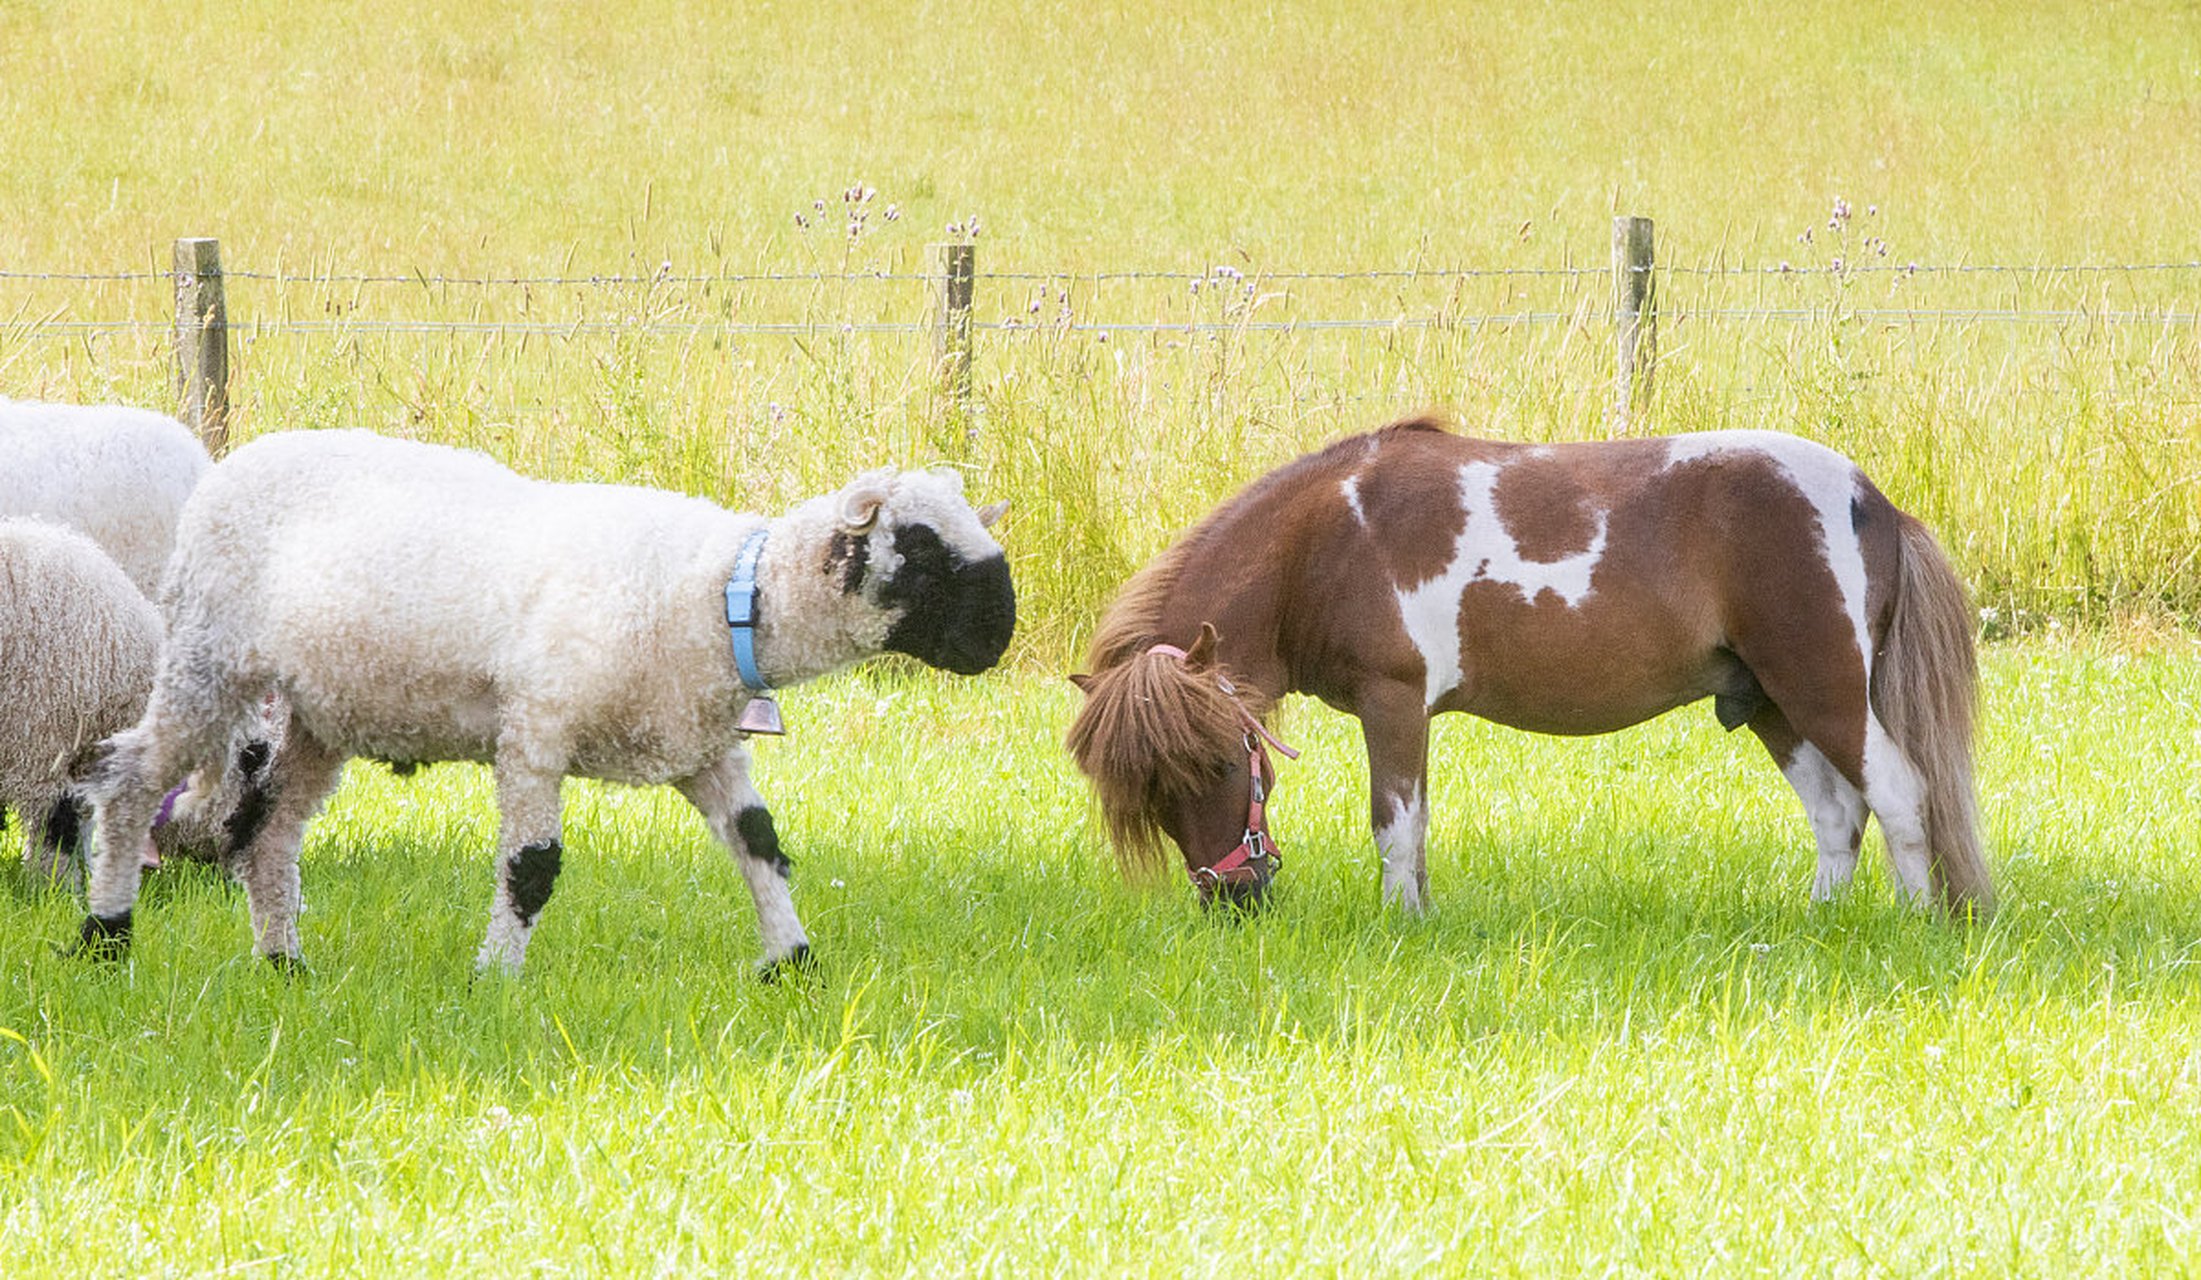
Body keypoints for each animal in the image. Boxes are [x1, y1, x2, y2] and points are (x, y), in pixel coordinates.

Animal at [1066, 415, 1990, 918]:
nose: (1234, 904)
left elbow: (1393, 827)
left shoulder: (1391, 702)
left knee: (1898, 796)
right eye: (1150, 797)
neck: (1323, 541)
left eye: (1223, 763)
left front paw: (1400, 924)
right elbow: (1413, 829)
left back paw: (1913, 924)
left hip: (1820, 690)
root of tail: (1874, 500)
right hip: (1767, 704)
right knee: (1837, 818)